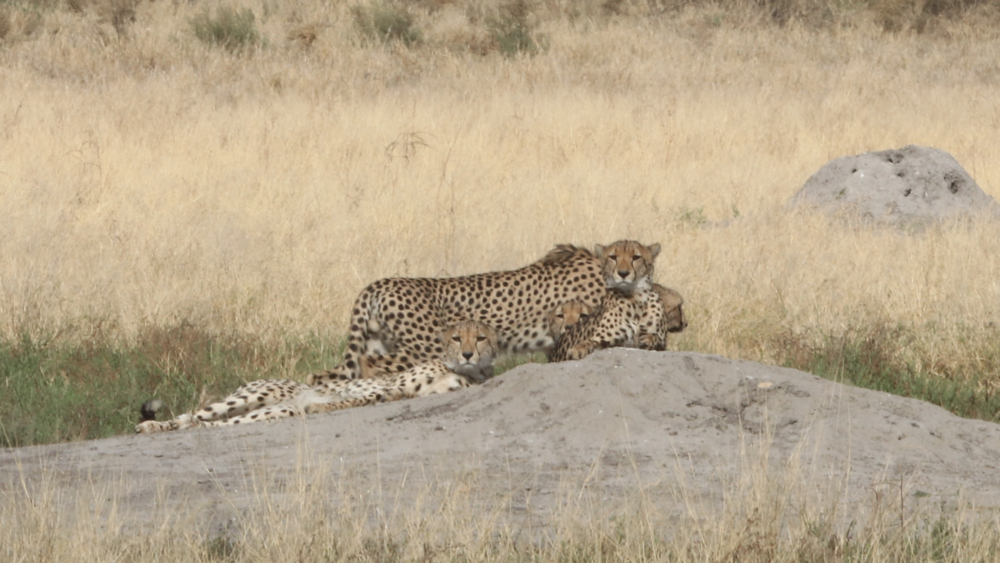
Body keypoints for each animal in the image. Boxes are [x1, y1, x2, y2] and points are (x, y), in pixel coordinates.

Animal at [135, 321, 498, 433]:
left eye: (480, 338)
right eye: (458, 338)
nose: (469, 354)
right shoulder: (391, 383)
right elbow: (369, 394)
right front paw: (325, 404)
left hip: (275, 411)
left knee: (207, 424)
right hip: (255, 396)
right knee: (192, 415)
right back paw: (152, 425)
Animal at [306, 240, 662, 386]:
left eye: (636, 257)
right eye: (619, 259)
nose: (625, 273)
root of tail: (378, 283)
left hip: (374, 342)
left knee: (321, 375)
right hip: (425, 347)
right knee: (370, 365)